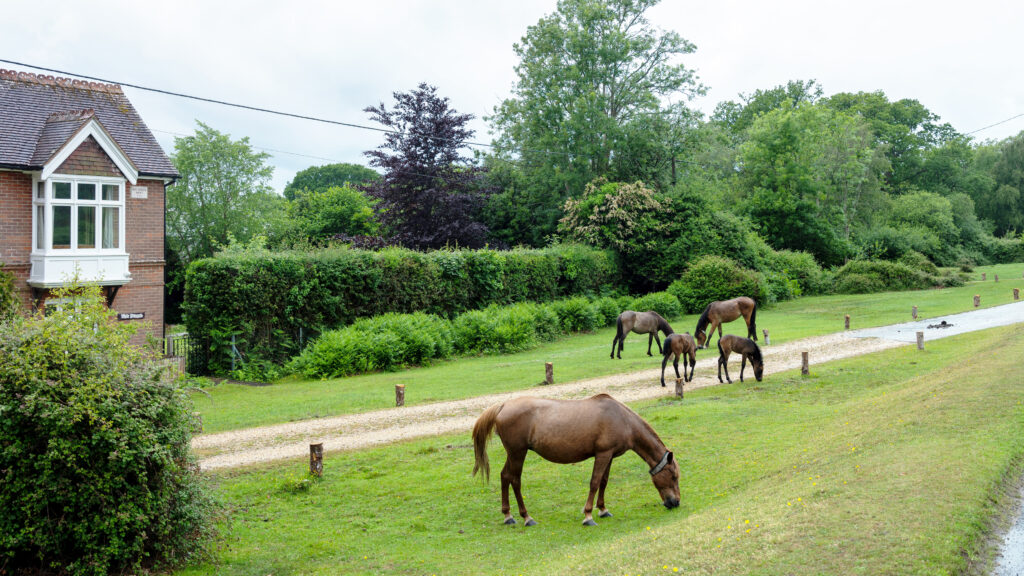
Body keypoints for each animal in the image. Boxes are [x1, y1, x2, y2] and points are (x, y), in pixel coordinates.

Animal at [472, 394, 681, 527]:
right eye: (673, 476)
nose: (675, 502)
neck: (623, 420)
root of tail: (503, 406)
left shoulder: (609, 455)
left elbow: (603, 482)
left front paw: (603, 510)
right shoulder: (602, 454)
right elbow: (594, 483)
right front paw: (588, 516)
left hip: (514, 454)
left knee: (504, 476)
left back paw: (508, 516)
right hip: (518, 453)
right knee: (515, 480)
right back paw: (526, 517)